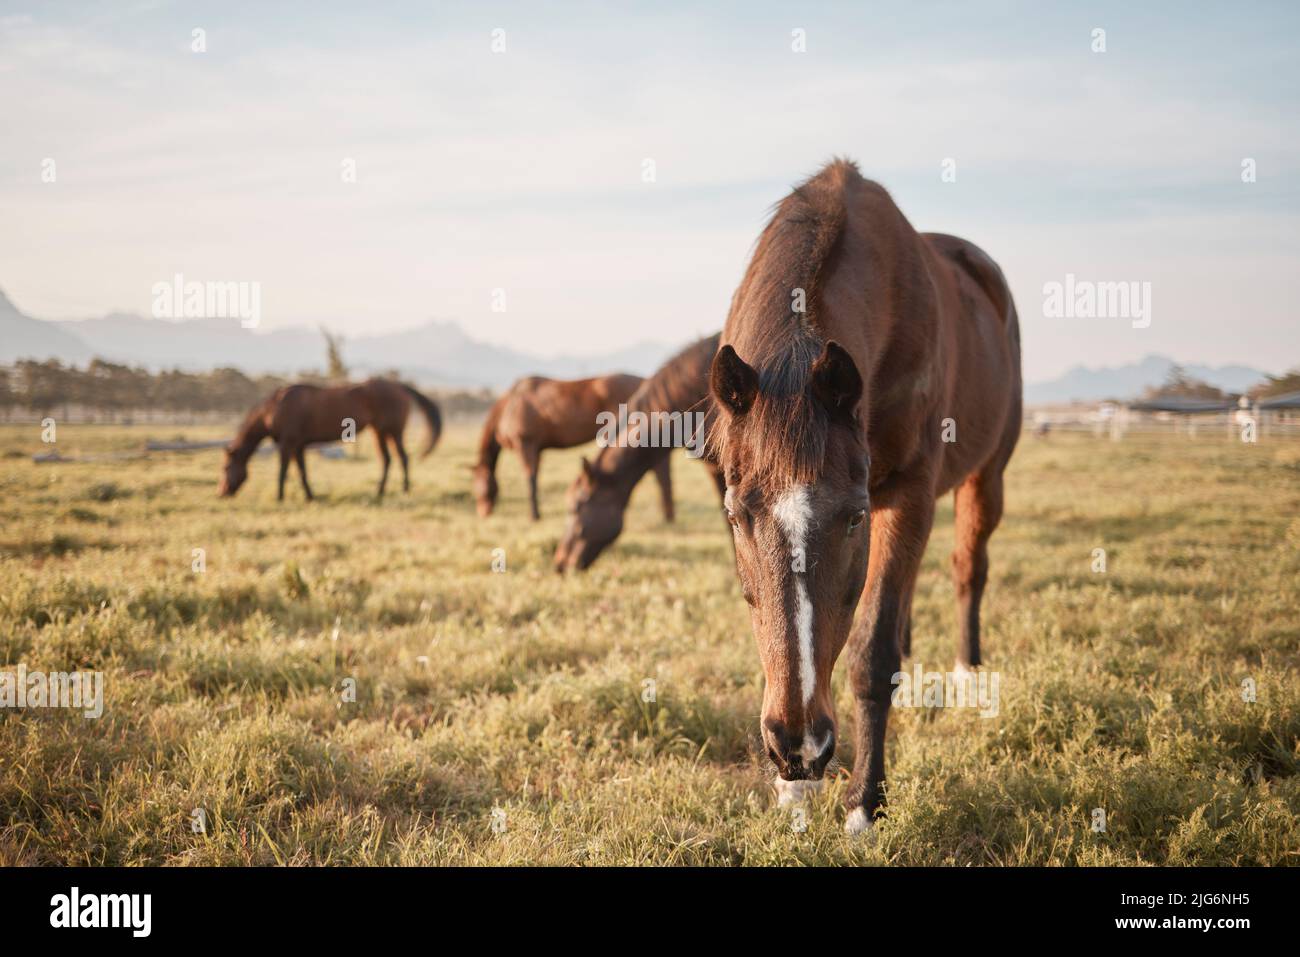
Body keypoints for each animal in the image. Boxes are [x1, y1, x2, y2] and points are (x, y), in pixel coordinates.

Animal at [219, 378, 442, 501]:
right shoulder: (299, 446)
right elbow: (302, 472)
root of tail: (399, 387)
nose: (221, 493)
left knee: (402, 458)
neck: (273, 409)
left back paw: (404, 489)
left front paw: (280, 497)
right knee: (387, 459)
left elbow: (283, 471)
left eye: (225, 468)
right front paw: (309, 496)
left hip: (393, 432)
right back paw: (380, 491)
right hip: (379, 432)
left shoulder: (287, 443)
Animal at [472, 373, 673, 521]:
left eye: (478, 485)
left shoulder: (526, 445)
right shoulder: (537, 449)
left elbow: (530, 479)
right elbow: (535, 477)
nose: (483, 513)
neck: (511, 404)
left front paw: (534, 516)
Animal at [707, 159, 1021, 835]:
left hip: (986, 477)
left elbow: (872, 655)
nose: (797, 747)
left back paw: (966, 674)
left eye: (850, 518)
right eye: (736, 516)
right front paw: (793, 793)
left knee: (967, 566)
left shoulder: (905, 493)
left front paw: (863, 806)